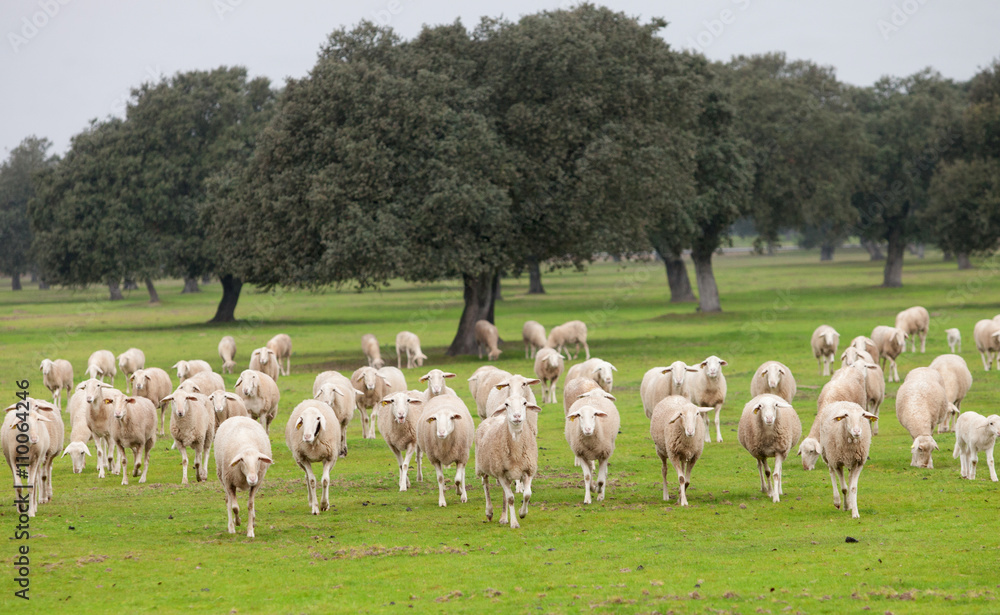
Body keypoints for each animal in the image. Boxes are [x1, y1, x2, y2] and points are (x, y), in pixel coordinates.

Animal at [475, 395, 540, 529]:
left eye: (525, 403)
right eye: (506, 404)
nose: (517, 416)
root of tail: (493, 417)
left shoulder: (528, 470)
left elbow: (527, 494)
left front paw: (522, 513)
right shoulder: (500, 473)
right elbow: (511, 498)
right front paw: (514, 523)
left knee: (504, 492)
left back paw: (503, 518)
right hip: (483, 466)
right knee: (485, 483)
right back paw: (489, 512)